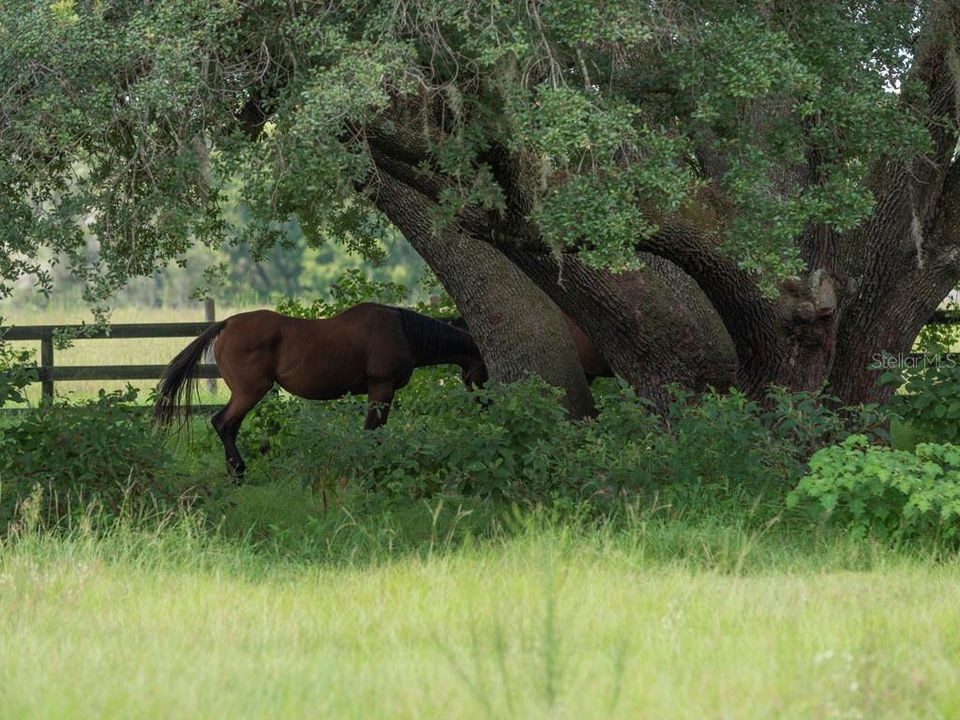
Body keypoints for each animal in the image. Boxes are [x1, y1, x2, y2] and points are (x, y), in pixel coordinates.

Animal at [158, 302, 492, 478]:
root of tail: (226, 324)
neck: (403, 332)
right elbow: (372, 431)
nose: (489, 402)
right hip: (249, 392)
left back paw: (235, 471)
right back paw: (239, 471)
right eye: (484, 368)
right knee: (223, 423)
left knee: (229, 426)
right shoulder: (381, 389)